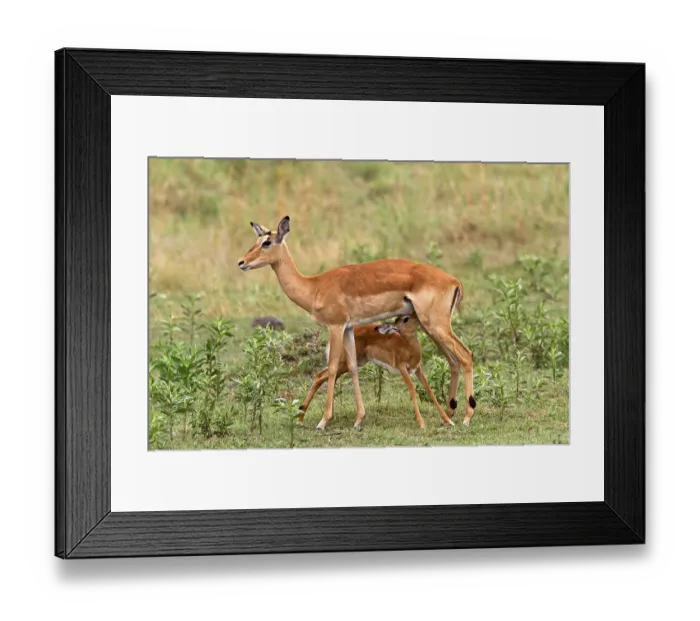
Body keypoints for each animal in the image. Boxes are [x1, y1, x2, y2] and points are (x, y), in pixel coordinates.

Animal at [297, 313, 454, 429]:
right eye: (406, 318)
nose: (420, 316)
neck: (408, 347)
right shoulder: (402, 368)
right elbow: (412, 389)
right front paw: (422, 424)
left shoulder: (417, 369)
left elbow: (430, 391)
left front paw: (448, 420)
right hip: (344, 364)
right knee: (320, 376)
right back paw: (308, 420)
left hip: (348, 365)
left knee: (326, 377)